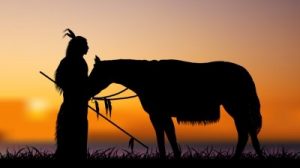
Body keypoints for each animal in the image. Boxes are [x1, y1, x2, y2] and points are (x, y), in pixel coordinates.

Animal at [88, 56, 262, 158]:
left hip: (236, 107)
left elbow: (167, 137)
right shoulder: (158, 115)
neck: (145, 77)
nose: (87, 88)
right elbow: (165, 137)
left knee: (245, 132)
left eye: (94, 73)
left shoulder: (160, 114)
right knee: (247, 132)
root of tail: (245, 73)